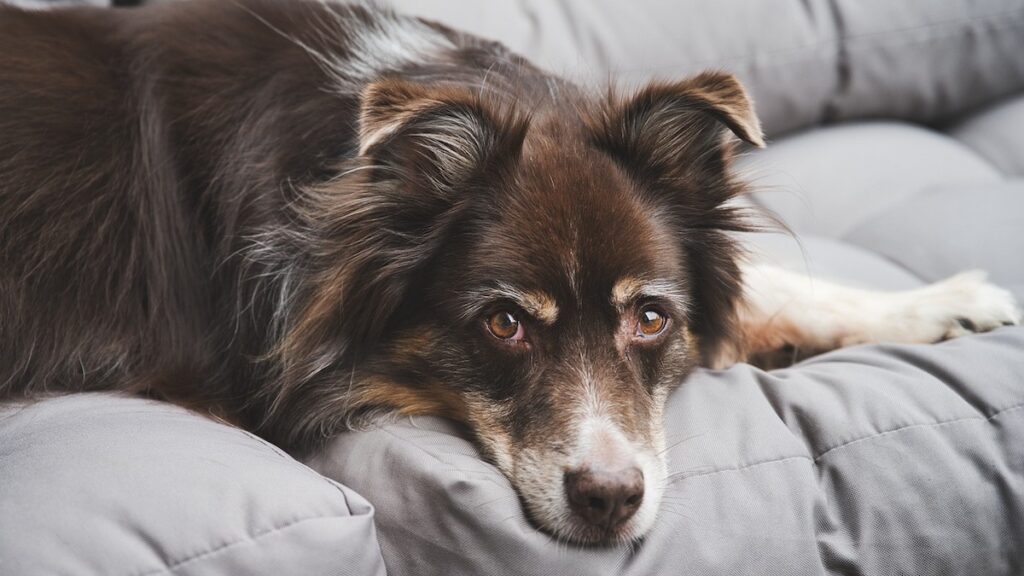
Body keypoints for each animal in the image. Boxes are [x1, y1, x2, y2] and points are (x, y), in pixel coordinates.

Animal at [4, 0, 1019, 541]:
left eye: (651, 317)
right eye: (504, 323)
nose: (610, 503)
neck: (347, 173)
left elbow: (765, 287)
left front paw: (940, 304)